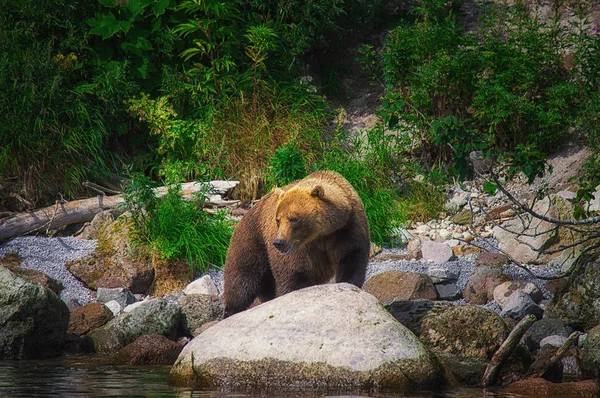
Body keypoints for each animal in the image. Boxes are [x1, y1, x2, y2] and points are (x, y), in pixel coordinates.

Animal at [223, 169, 368, 316]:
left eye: (293, 219)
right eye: (278, 220)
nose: (278, 242)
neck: (321, 234)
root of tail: (241, 220)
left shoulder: (346, 229)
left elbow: (351, 259)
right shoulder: (299, 251)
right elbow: (293, 276)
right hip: (252, 242)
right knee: (242, 281)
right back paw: (231, 311)